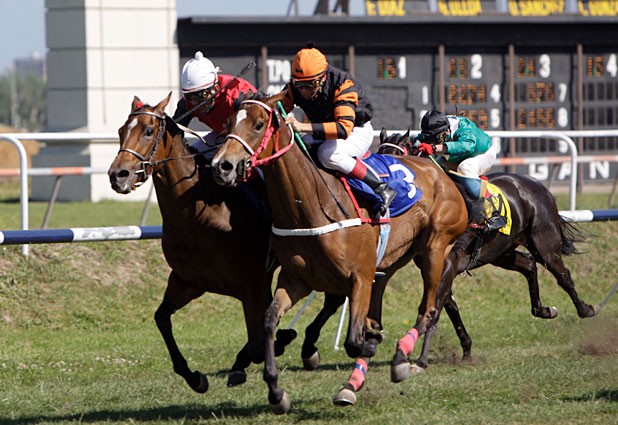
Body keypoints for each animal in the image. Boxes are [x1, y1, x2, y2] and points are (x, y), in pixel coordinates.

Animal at [107, 93, 295, 393]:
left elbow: (257, 342)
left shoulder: (252, 284)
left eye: (148, 131)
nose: (118, 175)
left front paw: (272, 346)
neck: (197, 215)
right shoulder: (188, 281)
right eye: (121, 131)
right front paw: (195, 377)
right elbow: (161, 318)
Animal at [211, 93, 468, 413]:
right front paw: (276, 391)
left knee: (428, 309)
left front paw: (370, 347)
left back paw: (400, 360)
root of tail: (439, 172)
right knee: (386, 309)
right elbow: (269, 321)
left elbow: (354, 341)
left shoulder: (358, 278)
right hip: (389, 264)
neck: (309, 204)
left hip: (434, 247)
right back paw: (356, 380)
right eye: (228, 123)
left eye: (259, 124)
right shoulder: (296, 280)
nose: (222, 166)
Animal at [377, 129, 601, 373]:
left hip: (544, 243)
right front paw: (466, 349)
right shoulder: (436, 268)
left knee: (562, 275)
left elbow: (433, 307)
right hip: (502, 251)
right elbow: (449, 307)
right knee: (529, 264)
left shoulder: (448, 265)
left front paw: (420, 359)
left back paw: (586, 310)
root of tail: (537, 185)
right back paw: (543, 309)